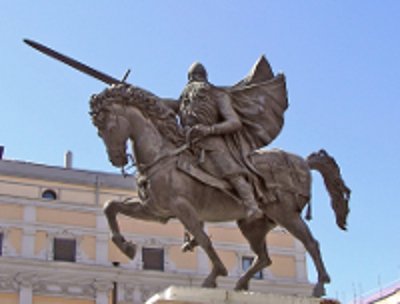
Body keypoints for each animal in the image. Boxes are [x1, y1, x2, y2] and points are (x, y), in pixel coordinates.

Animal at [90, 83, 350, 296]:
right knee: (264, 258)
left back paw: (319, 285)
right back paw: (241, 284)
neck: (162, 155)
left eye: (109, 125)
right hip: (252, 225)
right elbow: (110, 206)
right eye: (98, 130)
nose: (116, 158)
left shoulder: (182, 208)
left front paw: (216, 274)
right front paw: (126, 247)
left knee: (311, 243)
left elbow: (203, 238)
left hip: (286, 214)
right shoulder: (155, 210)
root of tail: (304, 162)